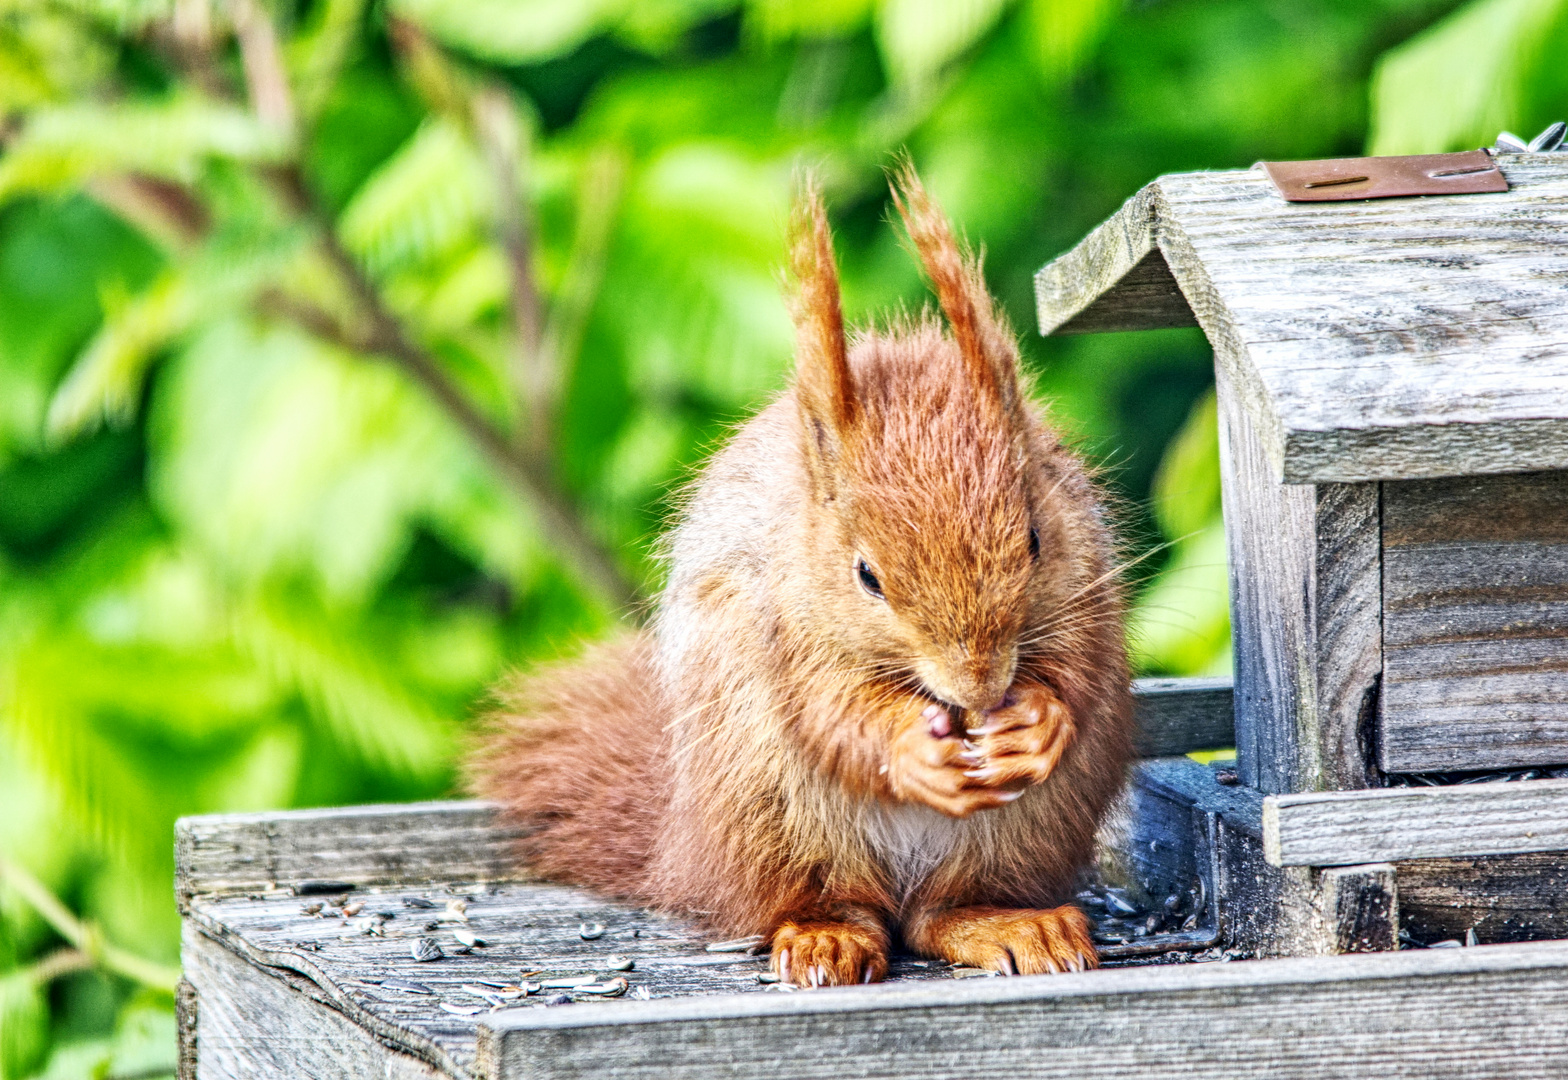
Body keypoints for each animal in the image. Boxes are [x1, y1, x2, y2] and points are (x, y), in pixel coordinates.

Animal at [470, 164, 1135, 984]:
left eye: (1037, 540)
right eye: (867, 576)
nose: (980, 688)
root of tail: (683, 847)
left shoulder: (1086, 579)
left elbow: (1079, 668)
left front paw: (1036, 723)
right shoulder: (778, 619)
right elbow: (829, 712)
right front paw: (908, 749)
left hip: (1025, 831)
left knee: (940, 915)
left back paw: (1013, 923)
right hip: (776, 811)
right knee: (834, 903)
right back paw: (826, 937)